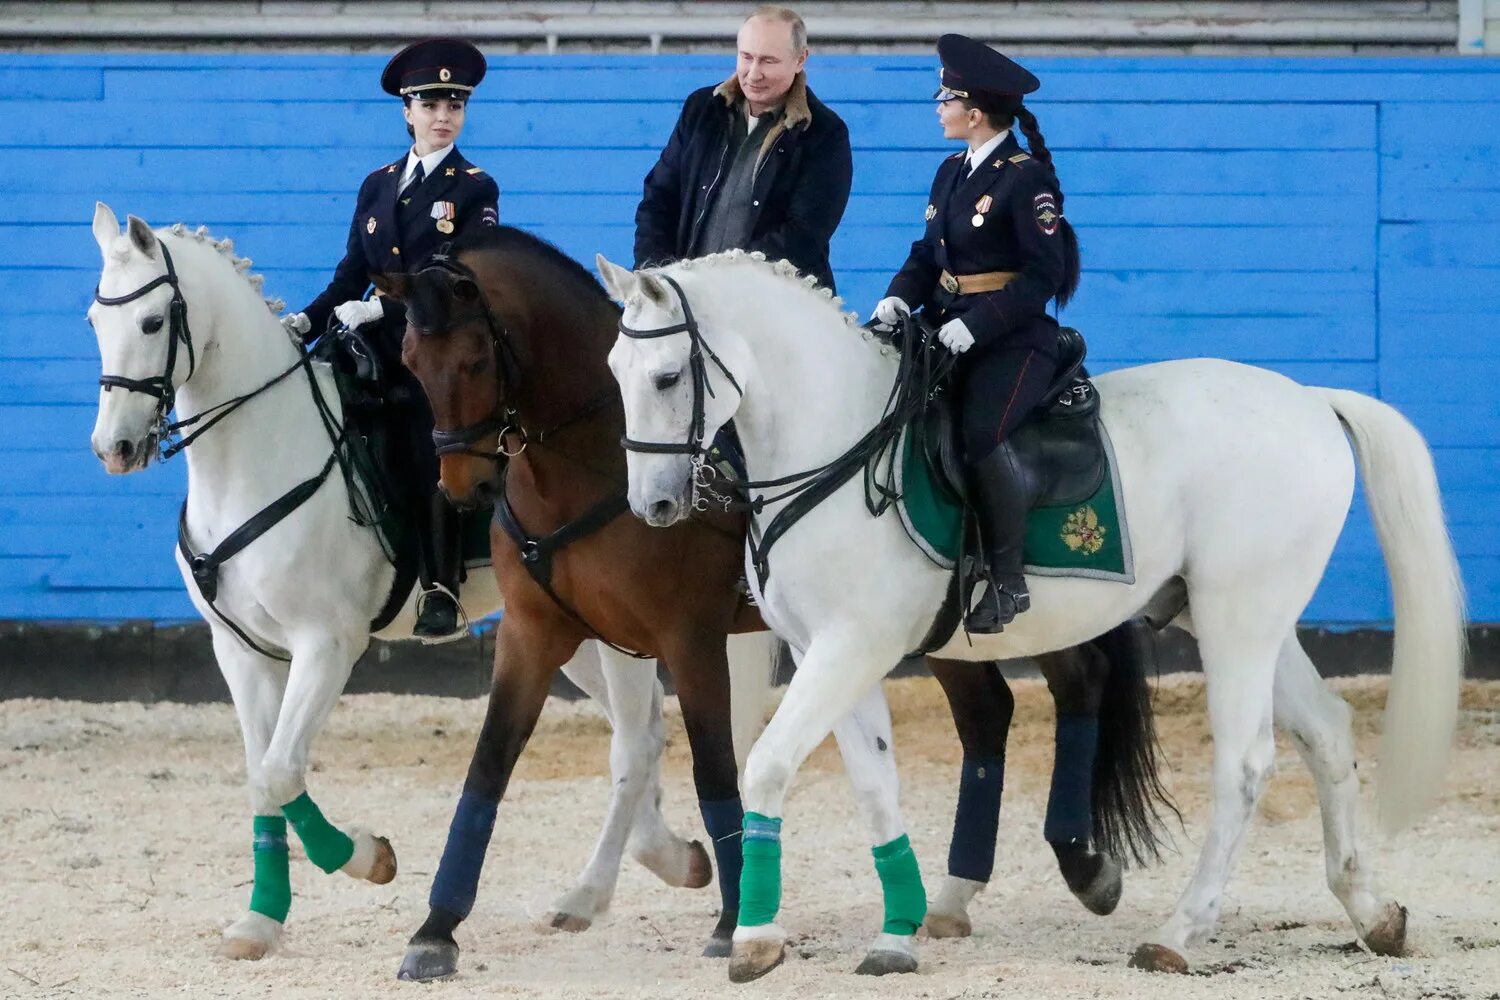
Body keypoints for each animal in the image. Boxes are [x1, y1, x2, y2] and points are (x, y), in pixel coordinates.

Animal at [86, 203, 768, 959]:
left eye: (152, 323)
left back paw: (619, 881)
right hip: (574, 633)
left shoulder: (327, 645)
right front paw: (260, 920)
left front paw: (366, 857)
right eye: (94, 320)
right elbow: (262, 778)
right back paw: (646, 871)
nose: (115, 448)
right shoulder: (239, 651)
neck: (256, 457)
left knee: (638, 736)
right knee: (640, 732)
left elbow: (281, 769)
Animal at [597, 245, 1464, 983]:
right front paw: (896, 934)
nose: (655, 506)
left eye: (668, 378)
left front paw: (755, 939)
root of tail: (1312, 401)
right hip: (1244, 618)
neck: (835, 444)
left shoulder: (852, 645)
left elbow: (769, 765)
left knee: (1245, 763)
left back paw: (1179, 934)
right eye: (615, 371)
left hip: (1237, 621)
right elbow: (875, 784)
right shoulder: (828, 651)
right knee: (1327, 732)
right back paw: (1373, 912)